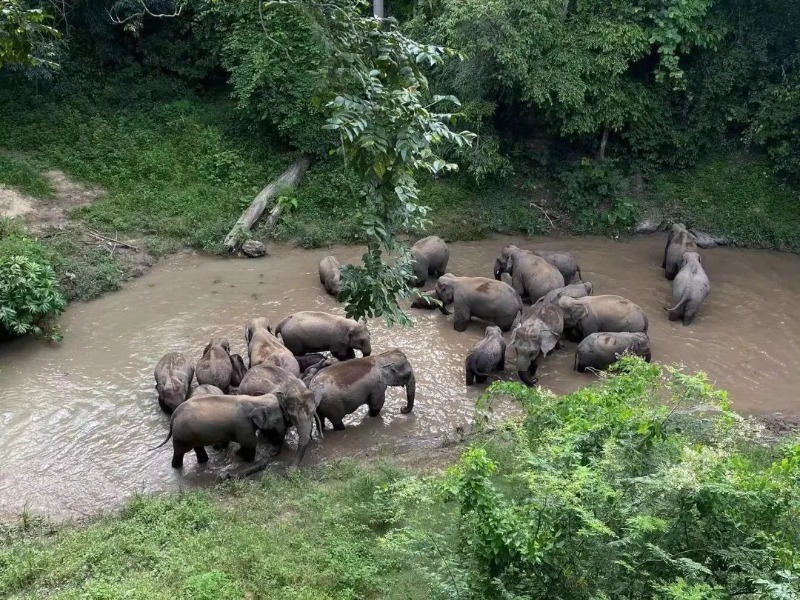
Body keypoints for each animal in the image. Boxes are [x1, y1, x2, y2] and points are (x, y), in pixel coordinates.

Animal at [152, 393, 288, 468]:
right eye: (277, 420)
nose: (271, 454)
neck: (256, 399)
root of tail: (174, 415)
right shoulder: (243, 425)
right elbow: (250, 442)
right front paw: (250, 461)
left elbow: (244, 443)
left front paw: (239, 454)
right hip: (182, 435)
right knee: (179, 452)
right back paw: (176, 467)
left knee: (198, 448)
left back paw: (204, 461)